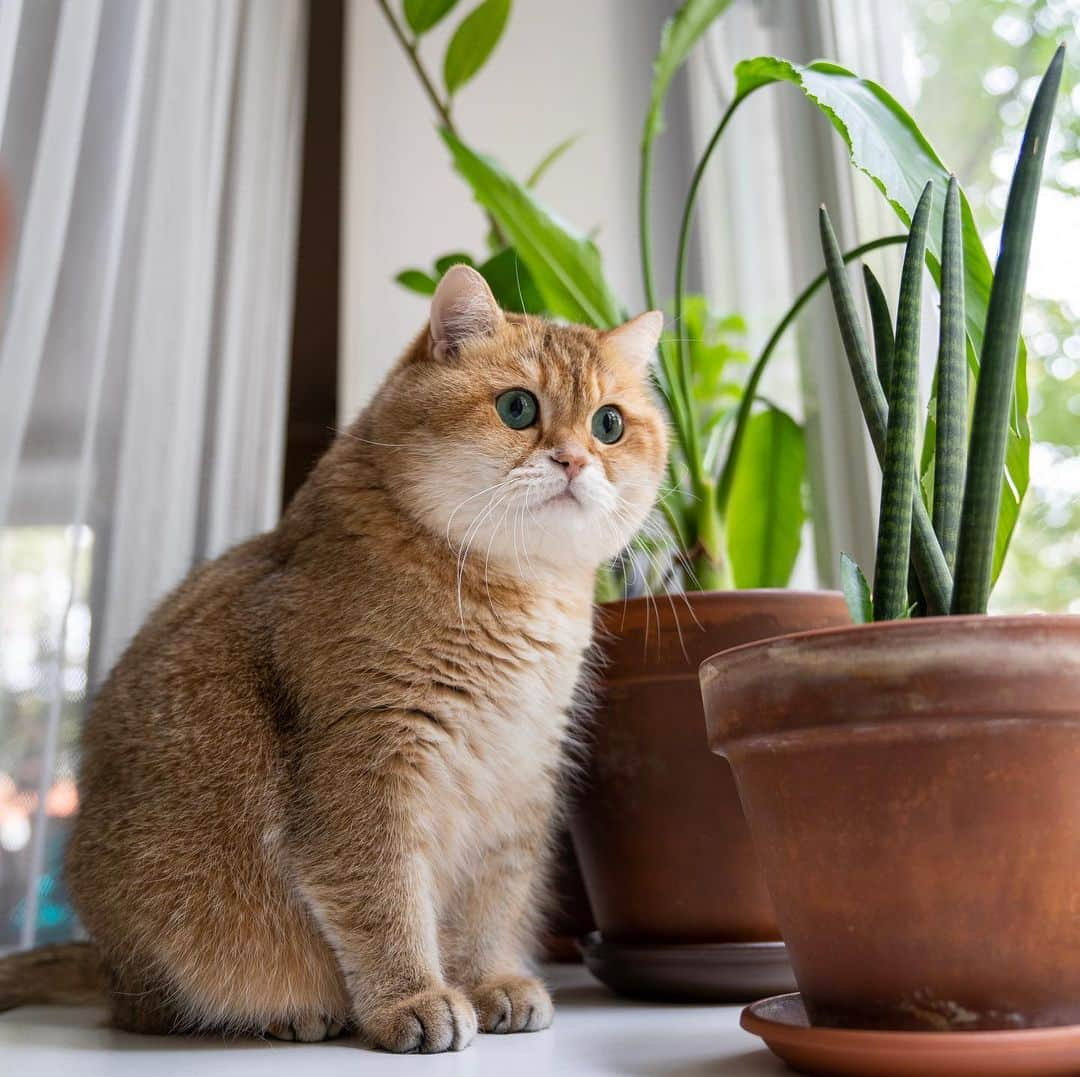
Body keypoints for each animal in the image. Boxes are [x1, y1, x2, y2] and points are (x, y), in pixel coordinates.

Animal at [0, 266, 665, 1049]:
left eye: (609, 424)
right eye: (517, 407)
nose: (574, 458)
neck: (515, 589)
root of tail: (104, 963)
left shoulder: (516, 779)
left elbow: (489, 904)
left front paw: (491, 979)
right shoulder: (366, 760)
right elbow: (384, 899)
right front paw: (414, 998)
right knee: (152, 1010)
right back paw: (290, 1013)